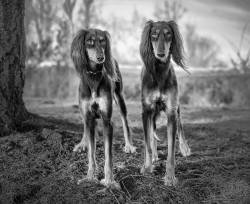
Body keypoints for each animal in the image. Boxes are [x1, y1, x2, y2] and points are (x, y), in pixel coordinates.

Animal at [70, 28, 137, 188]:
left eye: (103, 41)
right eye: (89, 42)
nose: (101, 57)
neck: (94, 76)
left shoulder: (107, 121)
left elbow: (108, 155)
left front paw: (109, 180)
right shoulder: (88, 117)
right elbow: (91, 154)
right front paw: (89, 177)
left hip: (119, 95)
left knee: (125, 119)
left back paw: (129, 145)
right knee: (85, 128)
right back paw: (82, 143)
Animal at [140, 20, 190, 186]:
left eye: (169, 34)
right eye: (154, 35)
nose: (161, 54)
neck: (159, 72)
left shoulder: (171, 112)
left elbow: (171, 151)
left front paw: (170, 177)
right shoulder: (146, 111)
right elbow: (147, 143)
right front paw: (147, 166)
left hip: (177, 108)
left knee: (181, 126)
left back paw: (185, 148)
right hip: (153, 112)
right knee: (151, 132)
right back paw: (155, 155)